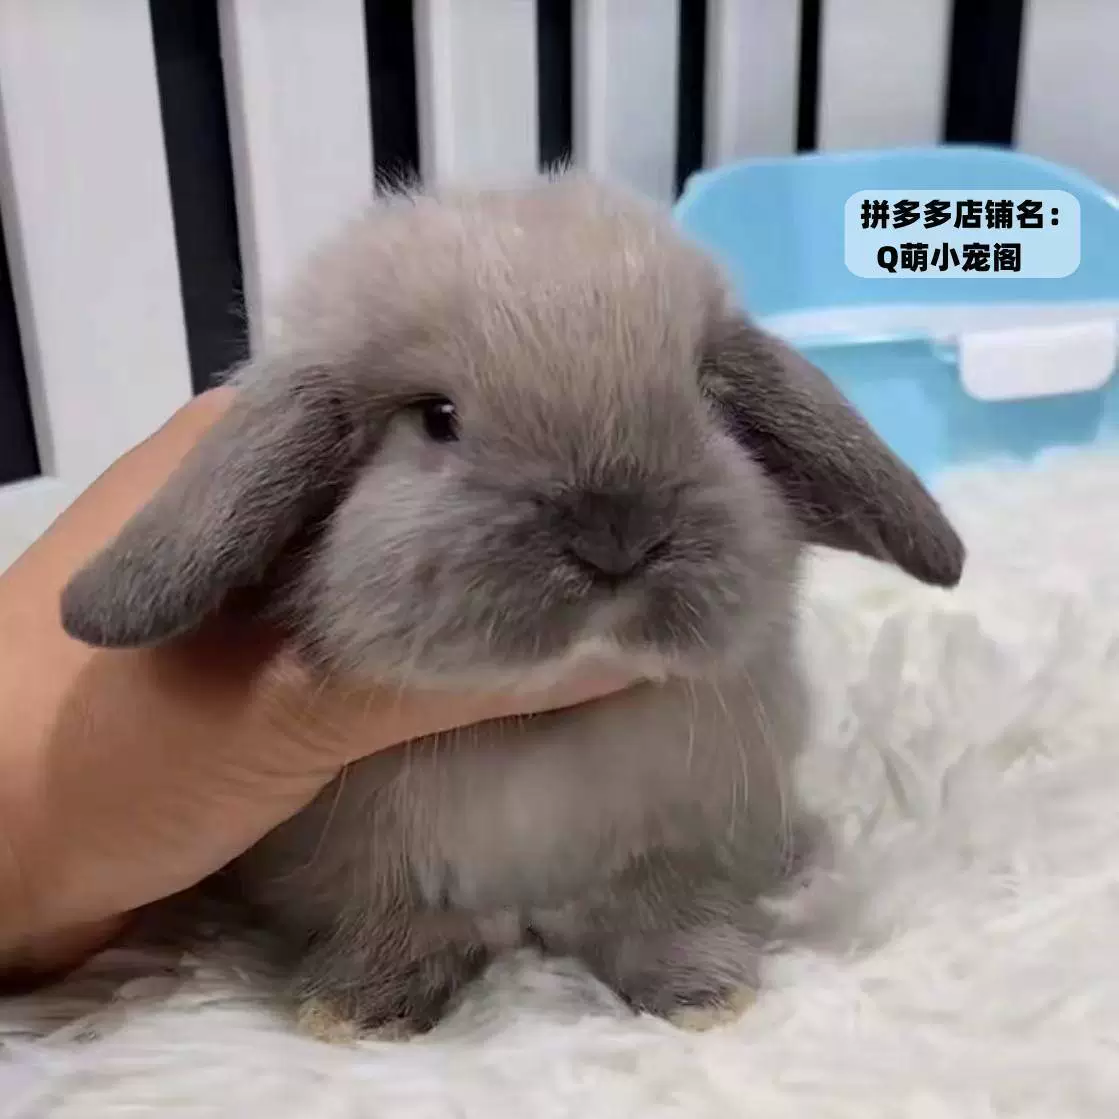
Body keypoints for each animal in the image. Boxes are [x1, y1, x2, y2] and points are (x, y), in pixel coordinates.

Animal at [59, 172, 964, 1040]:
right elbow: (389, 929)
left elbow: (671, 915)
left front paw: (705, 998)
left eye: (708, 400)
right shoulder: (367, 870)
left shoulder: (686, 839)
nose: (616, 534)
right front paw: (355, 1013)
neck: (534, 726)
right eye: (436, 418)